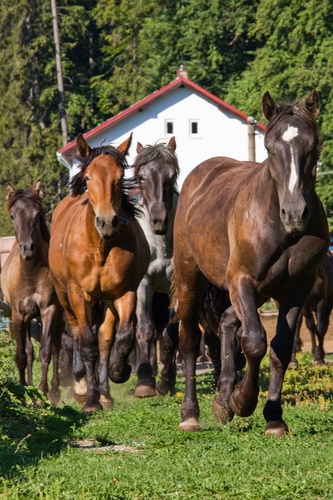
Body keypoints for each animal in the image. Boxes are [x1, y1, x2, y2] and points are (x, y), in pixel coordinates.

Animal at [0, 180, 63, 402]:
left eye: (37, 215)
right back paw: (29, 387)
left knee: (57, 346)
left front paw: (43, 392)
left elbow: (46, 351)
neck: (30, 274)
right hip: (27, 318)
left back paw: (54, 390)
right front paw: (22, 391)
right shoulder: (18, 314)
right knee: (28, 350)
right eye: (12, 216)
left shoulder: (49, 310)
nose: (27, 248)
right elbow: (22, 355)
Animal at [48, 133, 149, 410]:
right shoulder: (78, 294)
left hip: (106, 301)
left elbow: (122, 338)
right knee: (76, 334)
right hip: (65, 296)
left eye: (119, 178)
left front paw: (118, 372)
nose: (107, 222)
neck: (100, 247)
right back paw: (82, 386)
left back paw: (105, 393)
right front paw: (90, 399)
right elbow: (87, 344)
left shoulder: (125, 292)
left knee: (105, 337)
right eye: (88, 178)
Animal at [171, 91, 326, 438]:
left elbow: (280, 348)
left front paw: (274, 418)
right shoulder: (243, 281)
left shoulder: (295, 291)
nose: (295, 214)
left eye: (314, 145)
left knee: (228, 322)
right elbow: (255, 341)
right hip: (191, 278)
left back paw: (221, 399)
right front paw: (243, 401)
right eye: (269, 147)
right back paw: (190, 414)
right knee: (190, 340)